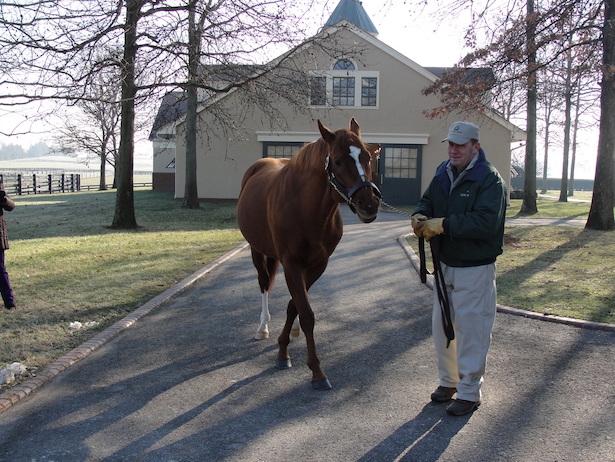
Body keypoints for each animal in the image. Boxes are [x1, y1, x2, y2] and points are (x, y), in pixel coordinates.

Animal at [238, 119, 382, 390]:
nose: (369, 204)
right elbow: (306, 314)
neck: (305, 208)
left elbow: (295, 306)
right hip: (257, 250)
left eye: (367, 157)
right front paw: (315, 371)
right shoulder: (291, 264)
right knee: (263, 284)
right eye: (338, 161)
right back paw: (262, 328)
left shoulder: (318, 264)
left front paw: (285, 345)